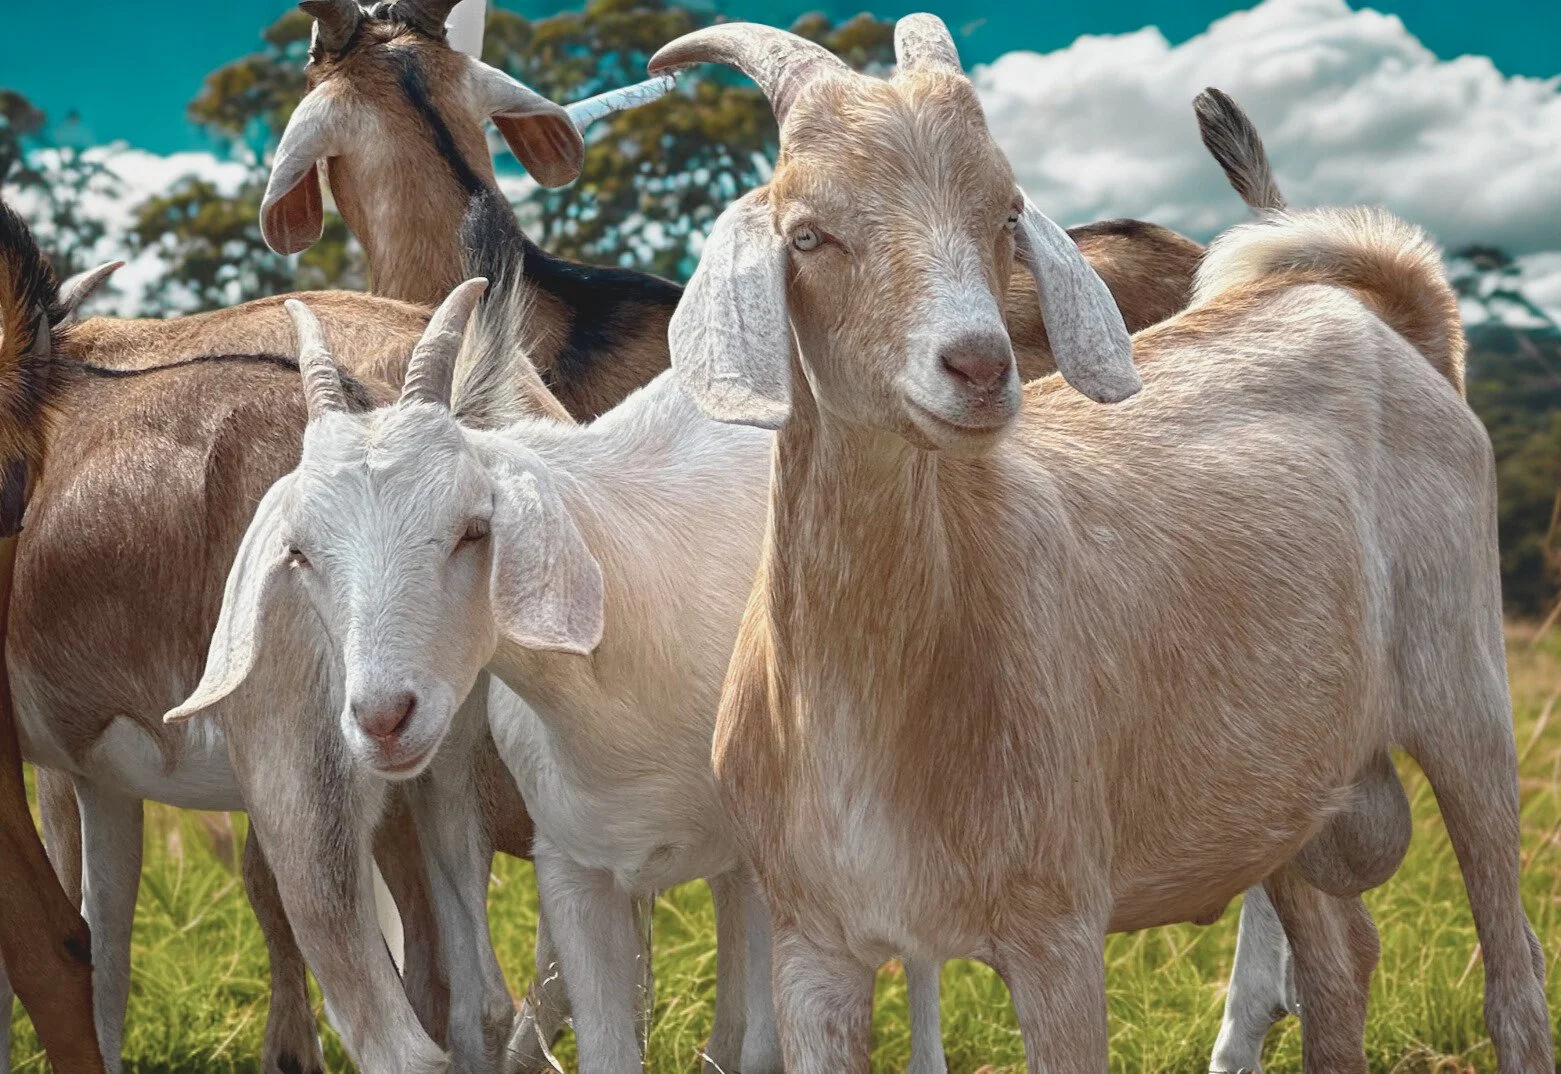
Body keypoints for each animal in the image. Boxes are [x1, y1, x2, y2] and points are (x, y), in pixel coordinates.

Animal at [652, 16, 1551, 1073]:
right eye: (807, 233)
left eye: (1004, 216)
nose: (978, 366)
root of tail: (1387, 320)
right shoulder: (812, 946)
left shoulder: (1057, 933)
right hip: (1286, 794)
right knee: (1336, 968)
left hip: (1465, 692)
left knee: (1511, 967)